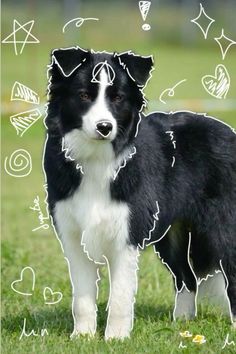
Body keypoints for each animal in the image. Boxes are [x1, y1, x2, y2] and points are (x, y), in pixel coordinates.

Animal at [44, 45, 236, 338]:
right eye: (84, 95)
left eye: (118, 98)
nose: (104, 127)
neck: (97, 158)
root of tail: (228, 130)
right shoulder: (72, 233)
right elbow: (82, 298)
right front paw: (83, 337)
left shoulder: (128, 232)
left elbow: (121, 296)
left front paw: (115, 338)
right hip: (171, 232)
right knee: (186, 277)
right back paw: (181, 322)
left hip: (223, 226)